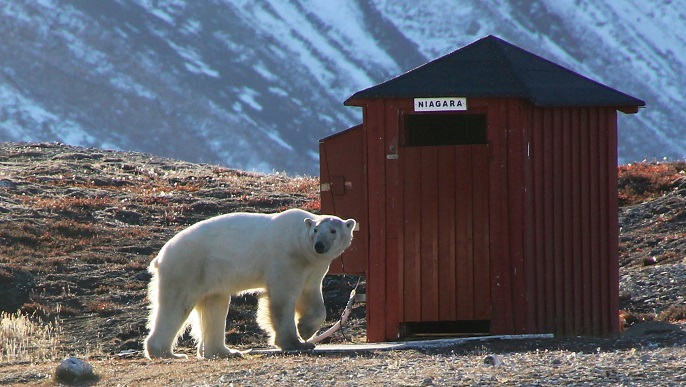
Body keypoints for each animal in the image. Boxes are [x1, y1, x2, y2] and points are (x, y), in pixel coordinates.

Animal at [142, 209, 354, 360]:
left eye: (333, 230)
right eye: (316, 230)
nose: (319, 245)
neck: (300, 244)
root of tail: (160, 256)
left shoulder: (313, 266)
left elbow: (311, 295)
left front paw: (305, 330)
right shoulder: (285, 258)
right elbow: (282, 299)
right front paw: (296, 342)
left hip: (209, 275)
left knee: (214, 307)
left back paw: (225, 352)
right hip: (187, 265)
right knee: (176, 305)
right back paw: (167, 353)